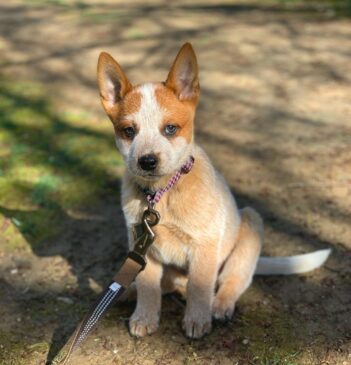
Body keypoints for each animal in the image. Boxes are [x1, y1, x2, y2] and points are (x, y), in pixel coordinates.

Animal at [97, 42, 332, 338]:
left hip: (251, 223)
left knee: (231, 280)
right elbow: (148, 286)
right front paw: (144, 317)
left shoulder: (204, 245)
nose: (147, 161)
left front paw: (197, 320)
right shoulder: (142, 244)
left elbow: (200, 286)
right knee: (167, 285)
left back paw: (219, 306)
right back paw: (129, 292)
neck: (162, 194)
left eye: (170, 129)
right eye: (128, 131)